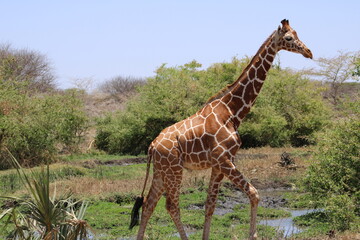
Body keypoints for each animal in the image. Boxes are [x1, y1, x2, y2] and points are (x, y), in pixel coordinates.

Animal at [129, 19, 312, 240]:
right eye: (289, 38)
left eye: (297, 34)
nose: (309, 52)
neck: (233, 112)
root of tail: (152, 146)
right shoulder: (224, 160)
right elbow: (254, 193)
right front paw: (253, 235)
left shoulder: (219, 164)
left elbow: (210, 205)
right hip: (174, 170)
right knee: (171, 206)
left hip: (161, 171)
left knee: (149, 204)